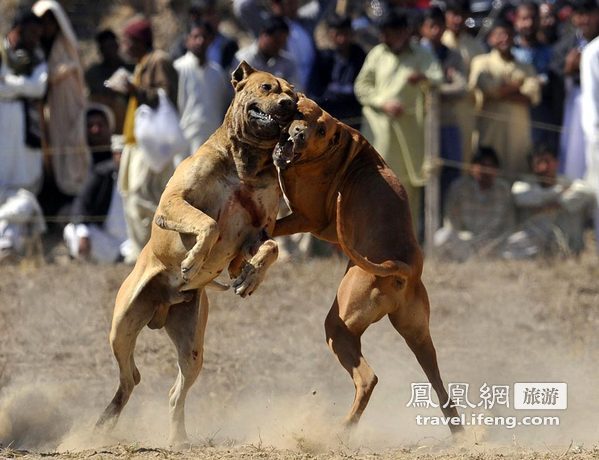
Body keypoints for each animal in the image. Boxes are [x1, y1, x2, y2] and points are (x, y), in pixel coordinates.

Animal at [274, 95, 462, 434]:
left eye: (320, 130)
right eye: (301, 115)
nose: (297, 136)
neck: (340, 148)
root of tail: (400, 266)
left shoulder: (305, 217)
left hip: (339, 326)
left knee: (368, 379)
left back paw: (343, 428)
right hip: (418, 336)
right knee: (441, 388)